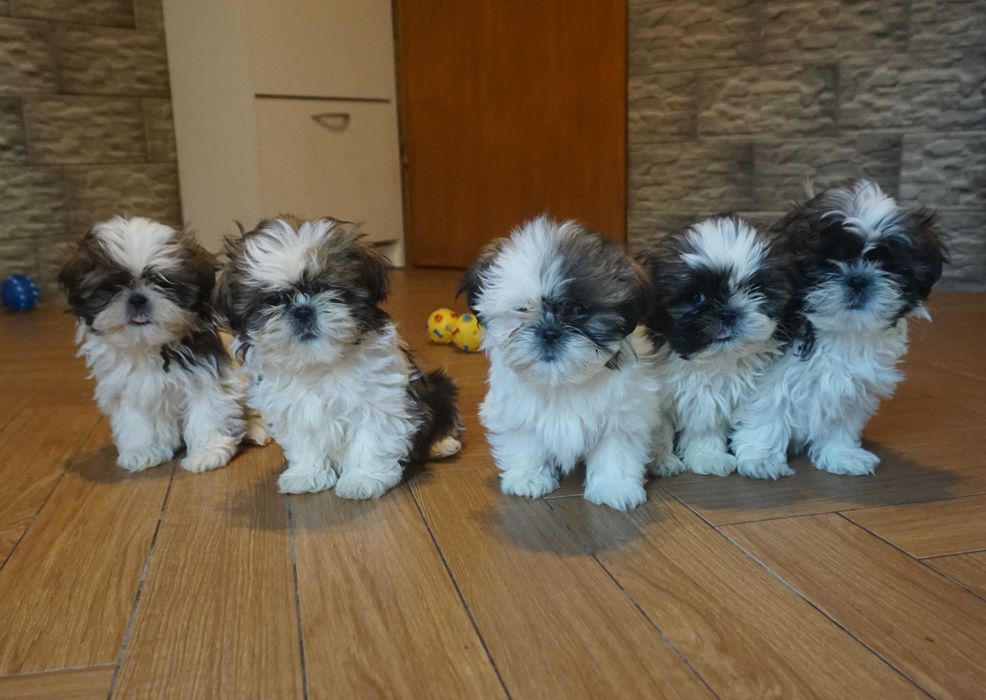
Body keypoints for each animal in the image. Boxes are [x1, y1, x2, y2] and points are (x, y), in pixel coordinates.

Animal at [58, 216, 247, 472]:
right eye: (112, 288)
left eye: (164, 283)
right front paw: (142, 450)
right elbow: (136, 419)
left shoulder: (204, 374)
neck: (147, 346)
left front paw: (207, 452)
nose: (138, 299)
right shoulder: (128, 388)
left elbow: (206, 408)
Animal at [214, 216, 462, 499]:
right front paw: (306, 474)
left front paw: (363, 479)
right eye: (273, 299)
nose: (303, 311)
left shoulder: (380, 400)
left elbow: (370, 438)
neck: (319, 363)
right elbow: (305, 441)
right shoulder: (293, 408)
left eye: (326, 288)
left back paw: (442, 444)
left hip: (438, 386)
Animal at [460, 215, 666, 510]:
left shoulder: (624, 410)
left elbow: (616, 447)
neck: (562, 382)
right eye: (522, 309)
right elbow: (525, 439)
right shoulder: (514, 408)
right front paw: (529, 478)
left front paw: (614, 486)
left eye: (580, 310)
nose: (549, 332)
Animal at [636, 215, 796, 477]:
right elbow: (658, 428)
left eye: (755, 290)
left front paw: (707, 456)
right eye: (696, 297)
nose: (729, 313)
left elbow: (706, 424)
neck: (709, 361)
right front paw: (660, 460)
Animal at [733, 179, 946, 478]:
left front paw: (841, 454)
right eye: (828, 263)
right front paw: (761, 458)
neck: (840, 332)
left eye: (886, 265)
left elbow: (840, 420)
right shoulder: (771, 376)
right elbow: (767, 410)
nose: (858, 279)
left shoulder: (851, 386)